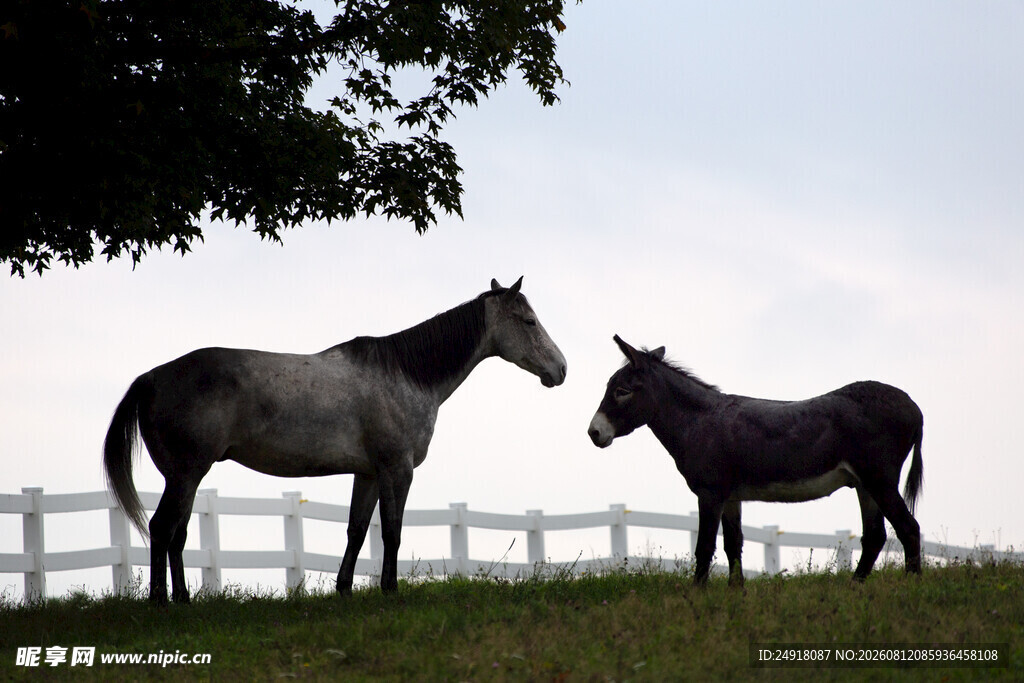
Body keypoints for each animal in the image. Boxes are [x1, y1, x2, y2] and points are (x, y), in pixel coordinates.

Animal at [104, 277, 567, 603]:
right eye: (529, 321)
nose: (560, 369)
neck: (406, 374)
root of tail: (151, 378)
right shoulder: (396, 470)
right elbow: (392, 532)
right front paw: (389, 590)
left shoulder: (368, 474)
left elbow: (357, 531)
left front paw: (344, 589)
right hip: (185, 475)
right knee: (162, 529)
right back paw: (161, 602)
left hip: (186, 478)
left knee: (178, 535)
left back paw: (183, 599)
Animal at [588, 335, 923, 586]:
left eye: (621, 391)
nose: (593, 432)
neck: (699, 421)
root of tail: (914, 406)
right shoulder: (731, 496)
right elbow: (733, 544)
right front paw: (736, 594)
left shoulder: (710, 493)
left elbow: (704, 546)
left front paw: (697, 595)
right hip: (864, 484)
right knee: (876, 536)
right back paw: (855, 587)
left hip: (879, 478)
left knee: (908, 528)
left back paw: (912, 585)